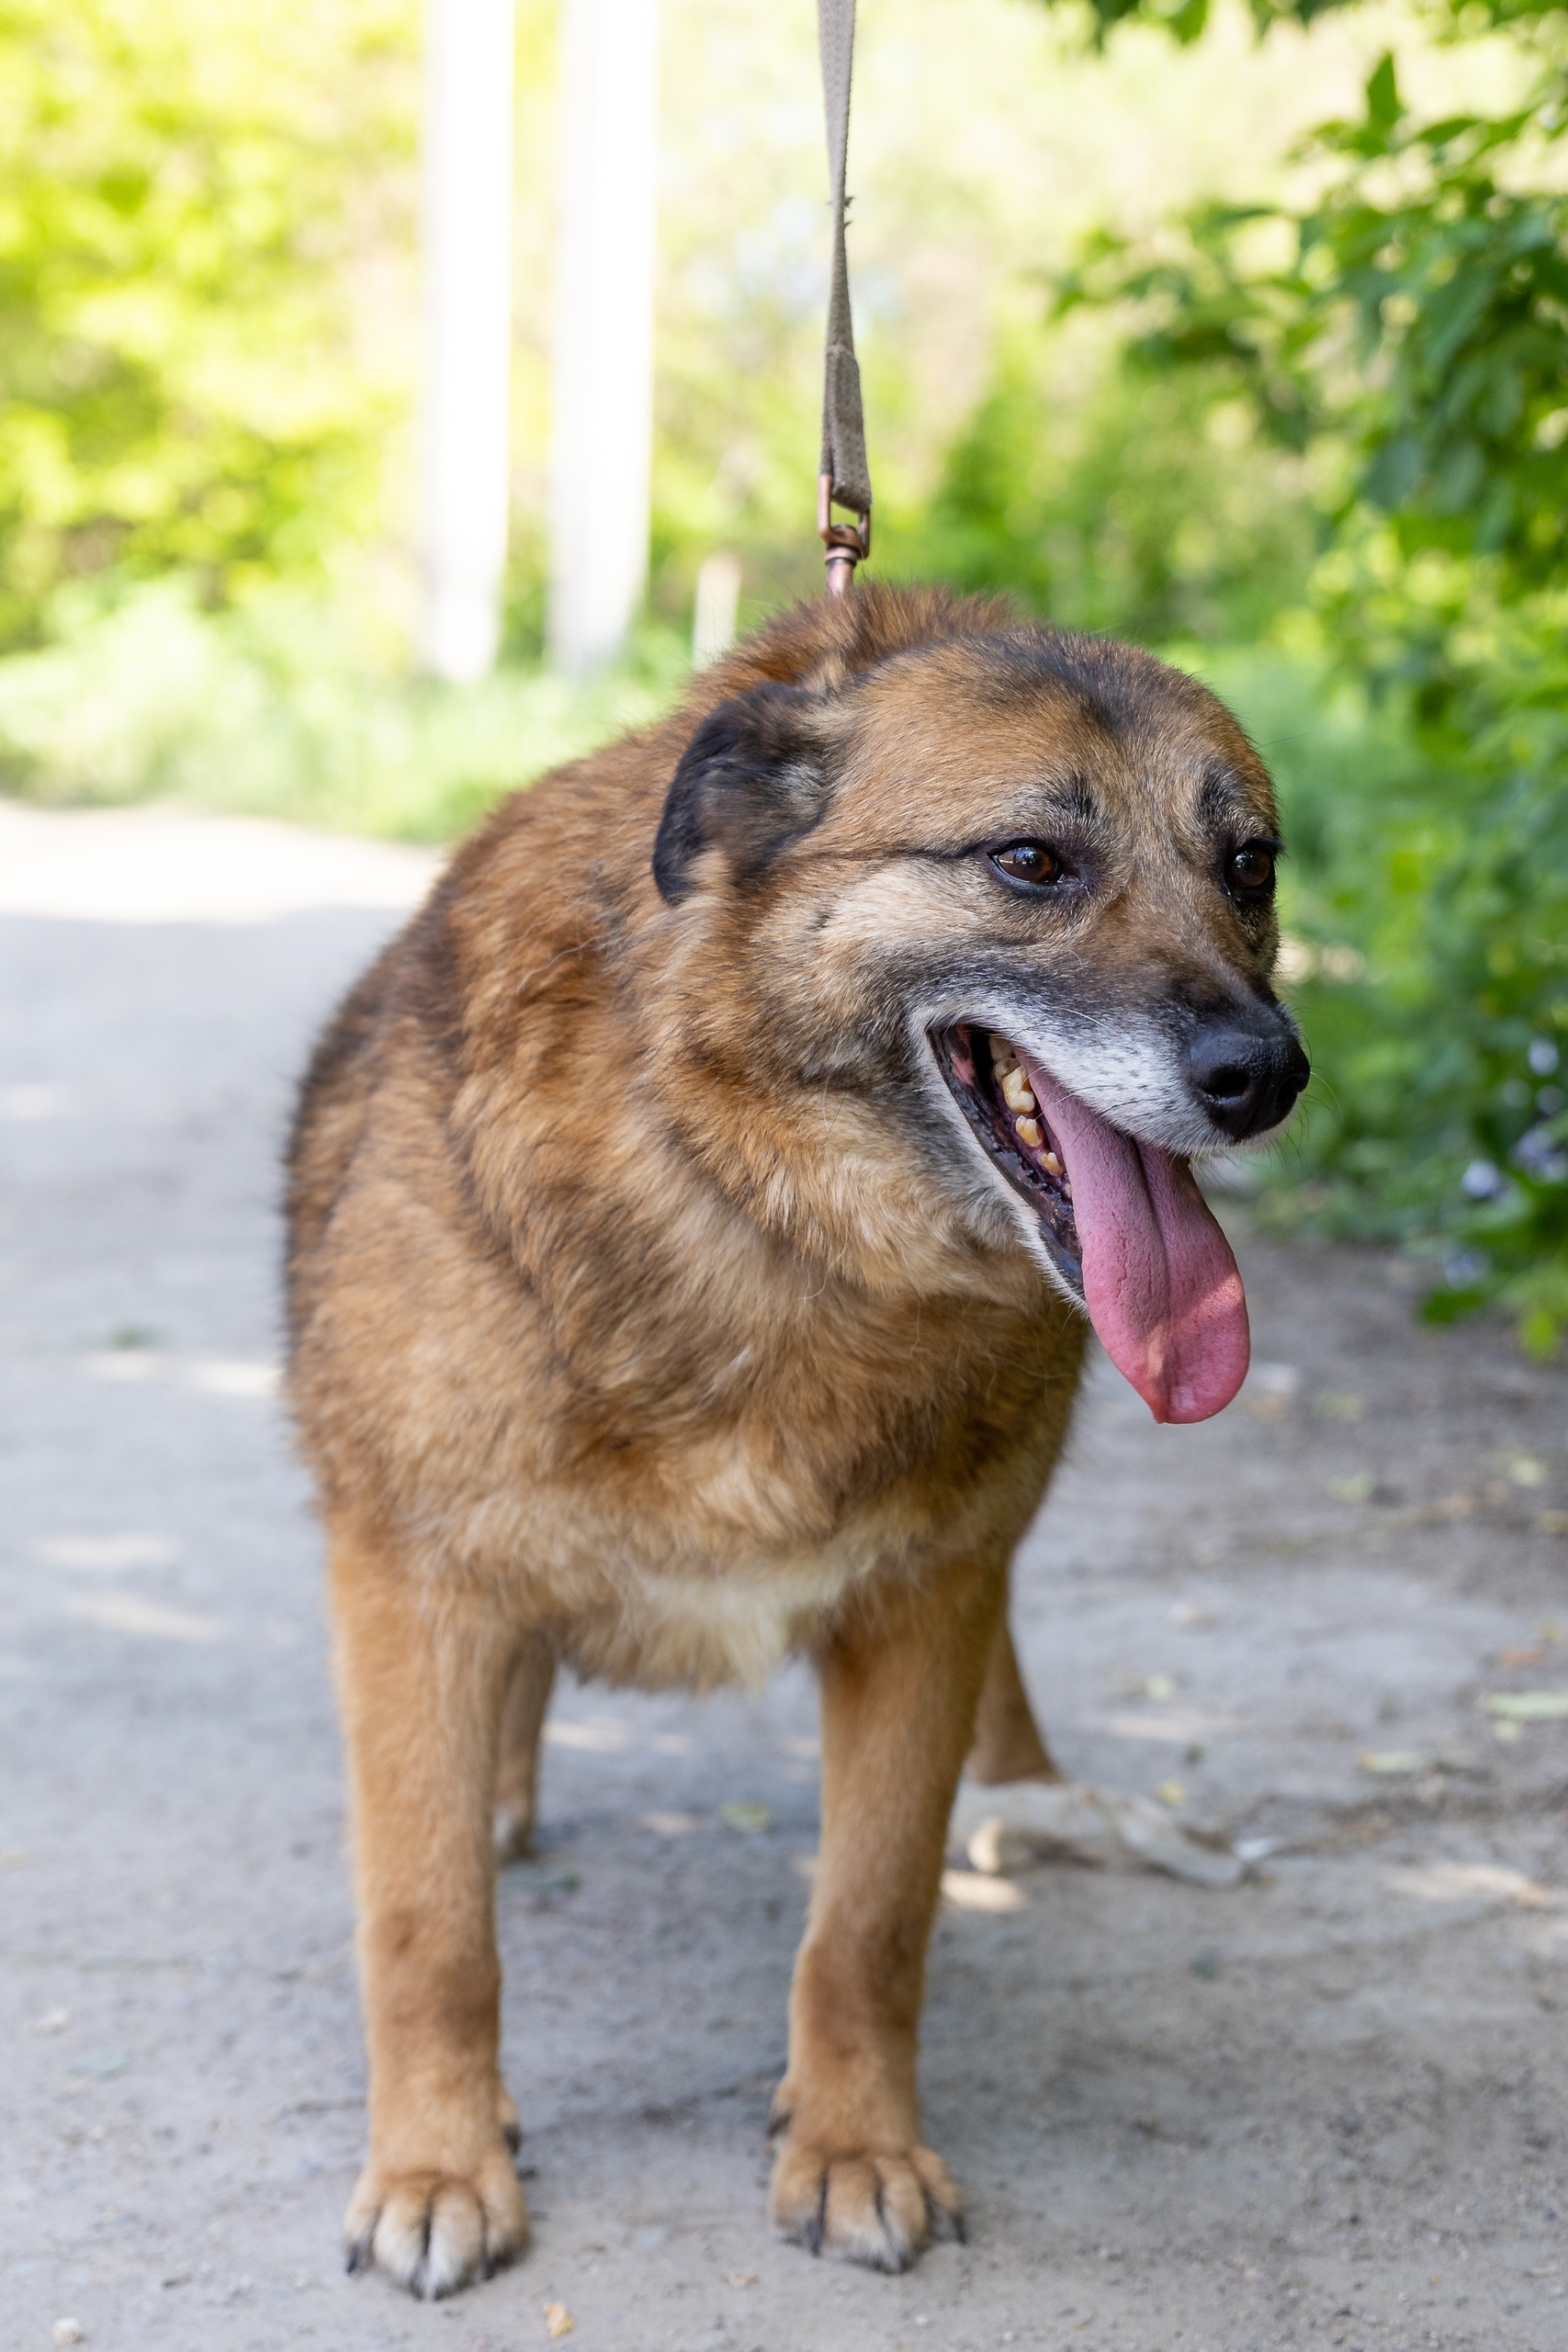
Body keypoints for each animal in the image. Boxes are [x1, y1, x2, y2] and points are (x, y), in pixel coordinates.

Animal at [285, 582, 1308, 2296]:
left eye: (1247, 866)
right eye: (1029, 862)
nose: (1265, 1077)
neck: (767, 1207)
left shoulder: (922, 1604)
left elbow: (869, 1923)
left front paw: (851, 2148)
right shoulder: (409, 1576)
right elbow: (427, 1928)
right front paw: (435, 2166)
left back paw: (1024, 1795)